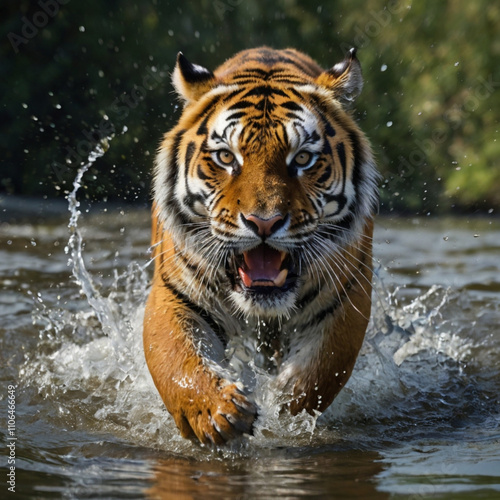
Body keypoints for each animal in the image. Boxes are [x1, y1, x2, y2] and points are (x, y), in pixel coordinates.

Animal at [143, 47, 376, 446]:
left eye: (302, 158)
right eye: (226, 157)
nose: (263, 222)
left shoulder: (348, 297)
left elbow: (319, 373)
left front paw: (280, 407)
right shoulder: (175, 292)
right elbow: (178, 359)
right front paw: (219, 412)